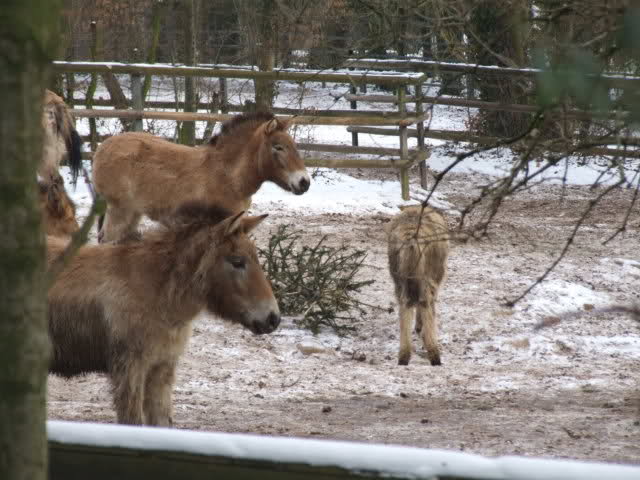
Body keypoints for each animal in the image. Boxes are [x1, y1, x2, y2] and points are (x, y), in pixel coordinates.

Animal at [92, 111, 310, 243]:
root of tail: (102, 148)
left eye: (294, 146)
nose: (304, 182)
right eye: (278, 147)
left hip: (134, 214)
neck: (228, 175)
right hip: (120, 211)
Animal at [386, 205, 449, 366]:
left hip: (399, 279)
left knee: (405, 305)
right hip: (428, 279)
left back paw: (403, 357)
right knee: (426, 304)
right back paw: (434, 355)